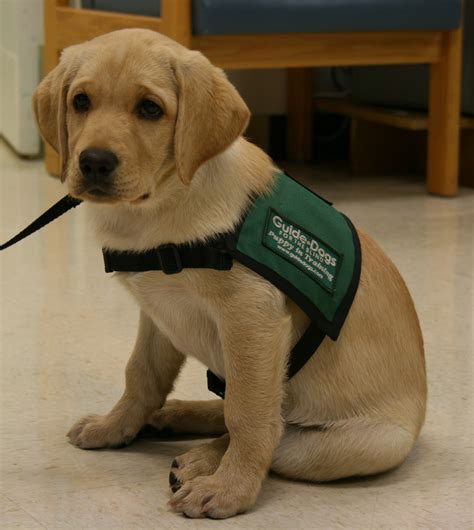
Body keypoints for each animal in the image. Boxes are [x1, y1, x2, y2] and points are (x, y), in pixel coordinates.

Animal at [32, 27, 426, 516]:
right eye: (81, 101)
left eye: (150, 108)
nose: (94, 162)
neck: (161, 208)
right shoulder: (158, 312)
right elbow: (141, 374)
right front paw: (115, 426)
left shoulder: (251, 316)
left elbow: (248, 413)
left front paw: (231, 488)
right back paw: (177, 419)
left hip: (353, 445)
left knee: (277, 433)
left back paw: (202, 460)